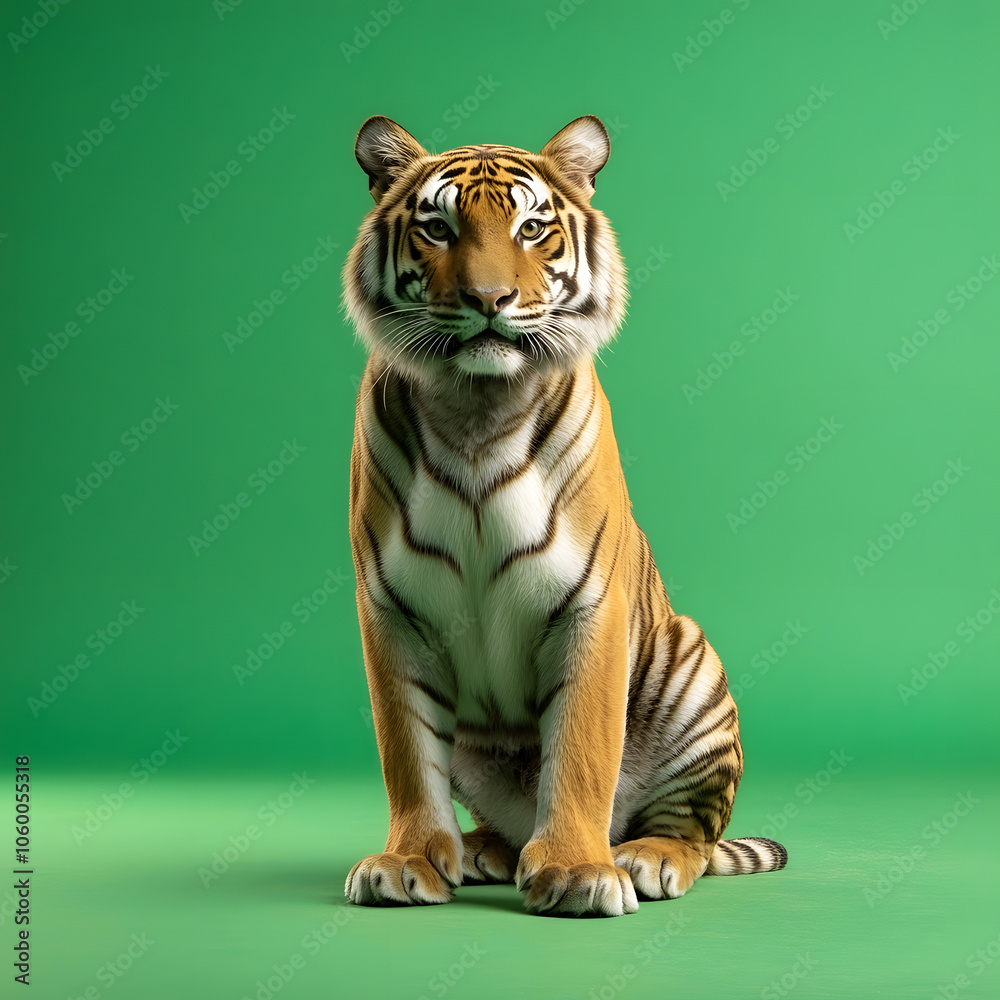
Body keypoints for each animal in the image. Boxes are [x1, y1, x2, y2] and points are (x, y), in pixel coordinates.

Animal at [342, 114, 787, 917]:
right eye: (437, 227)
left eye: (531, 227)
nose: (489, 299)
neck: (478, 409)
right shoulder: (390, 610)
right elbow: (407, 751)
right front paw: (408, 861)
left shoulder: (590, 604)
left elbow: (581, 748)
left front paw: (579, 873)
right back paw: (483, 850)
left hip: (691, 668)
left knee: (693, 830)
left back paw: (645, 857)